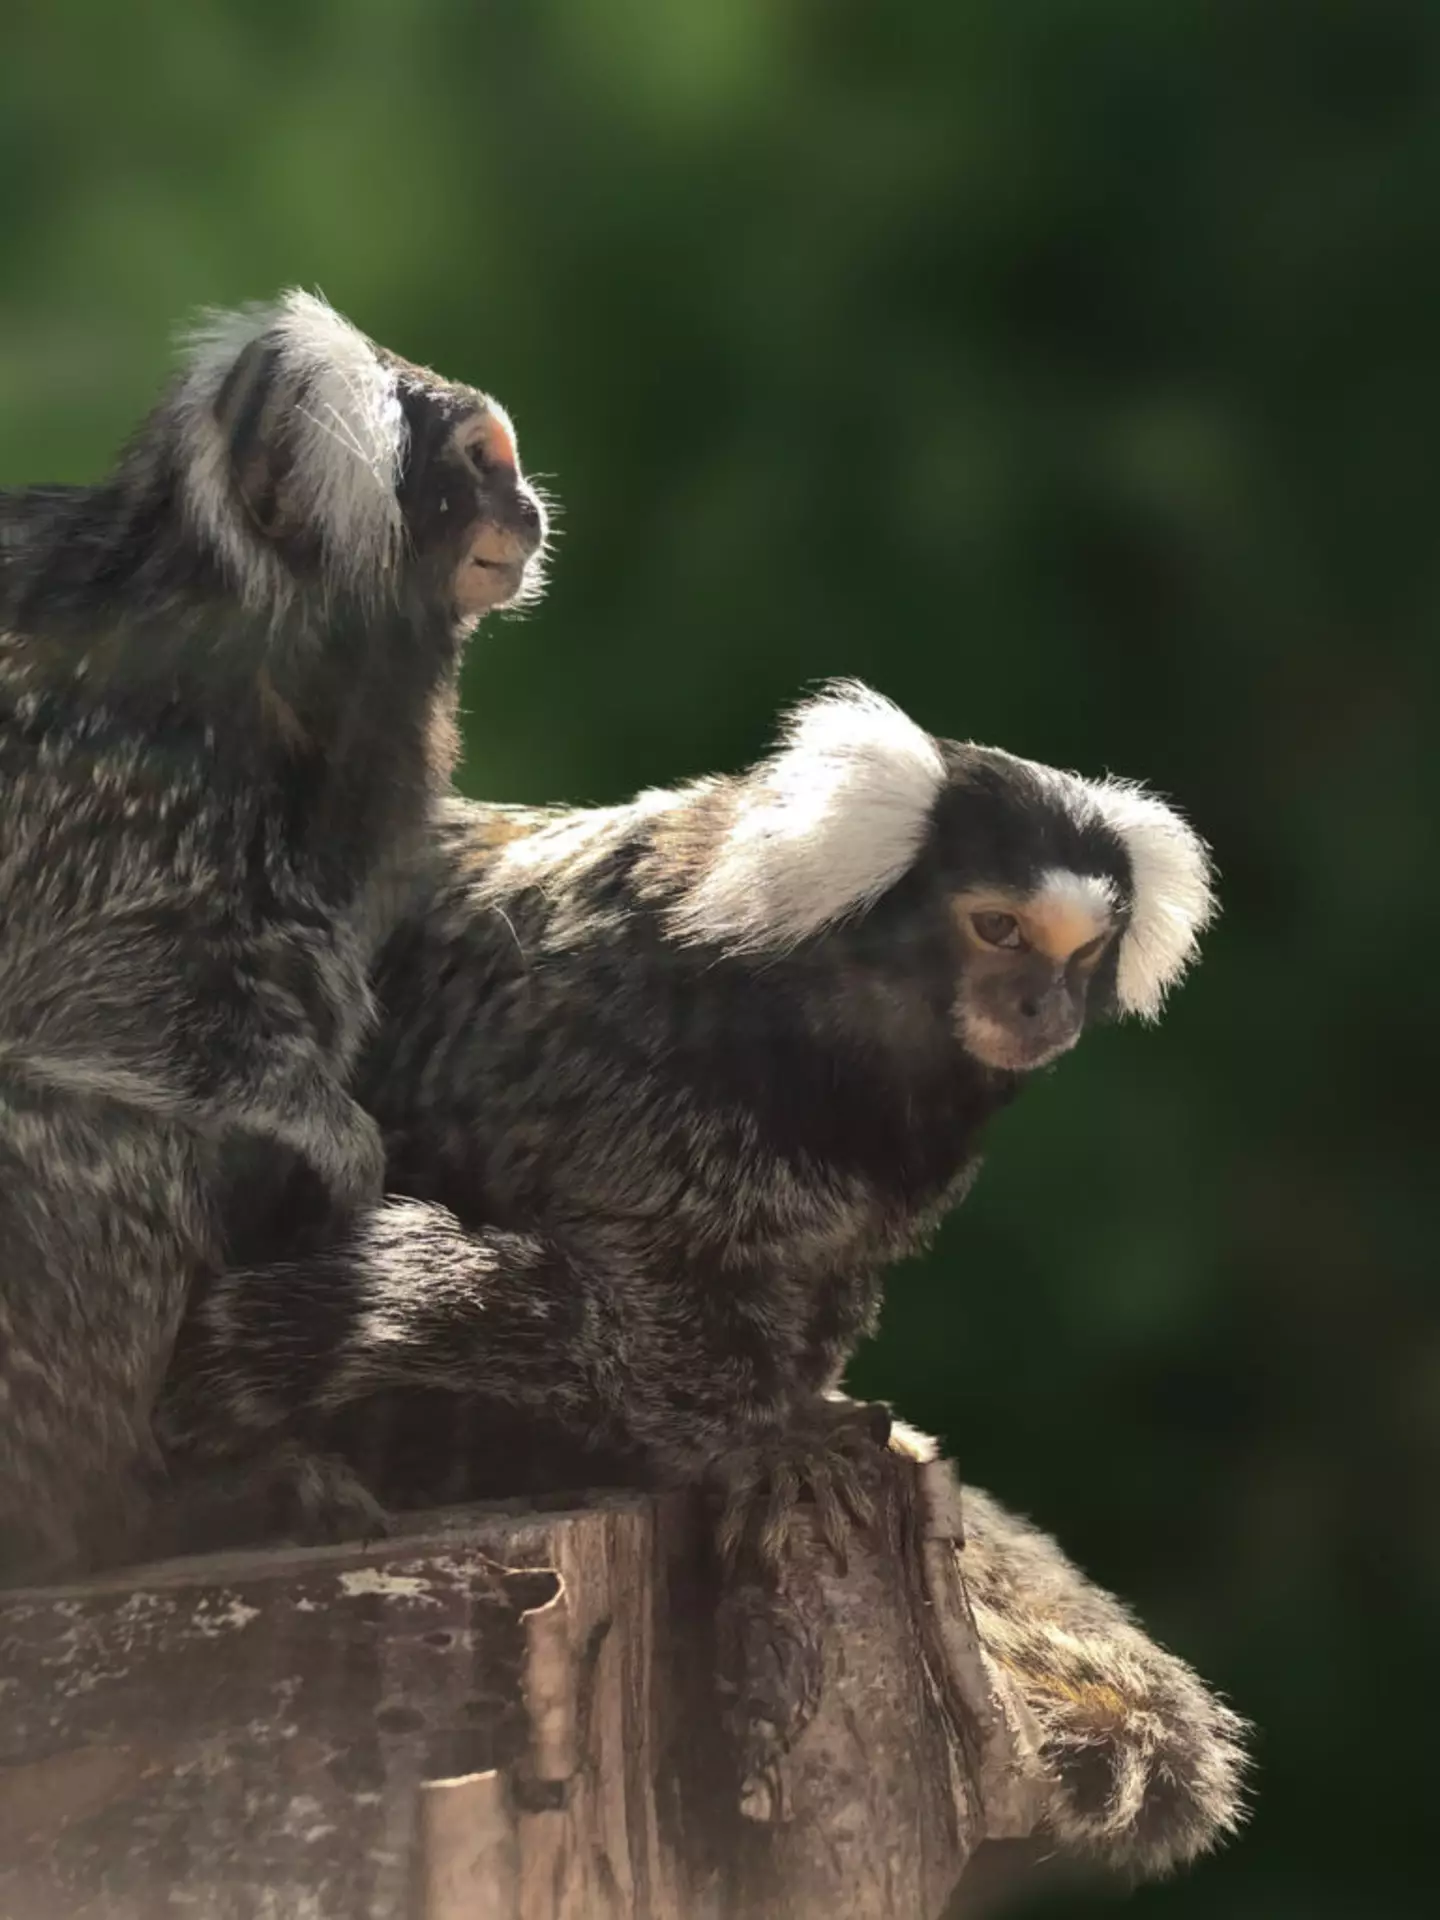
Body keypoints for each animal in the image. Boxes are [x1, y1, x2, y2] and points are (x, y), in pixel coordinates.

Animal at [0, 284, 545, 1574]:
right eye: (476, 463)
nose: (527, 505)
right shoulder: (107, 755)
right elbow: (66, 984)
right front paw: (338, 1142)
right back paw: (128, 1512)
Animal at [157, 683, 1221, 1566]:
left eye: (1082, 953)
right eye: (997, 929)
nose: (1046, 1008)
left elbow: (822, 1273)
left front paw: (806, 1406)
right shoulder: (619, 1057)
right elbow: (651, 1268)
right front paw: (759, 1445)